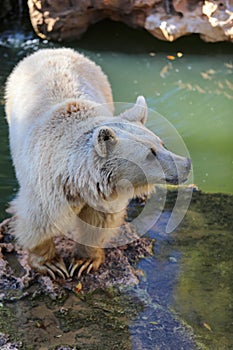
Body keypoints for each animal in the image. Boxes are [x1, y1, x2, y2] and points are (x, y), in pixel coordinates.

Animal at [5, 48, 191, 278]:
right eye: (151, 154)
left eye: (161, 144)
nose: (186, 164)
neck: (76, 179)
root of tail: (52, 49)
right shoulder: (48, 185)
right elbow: (39, 219)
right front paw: (51, 264)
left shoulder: (103, 194)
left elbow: (98, 222)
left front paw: (84, 261)